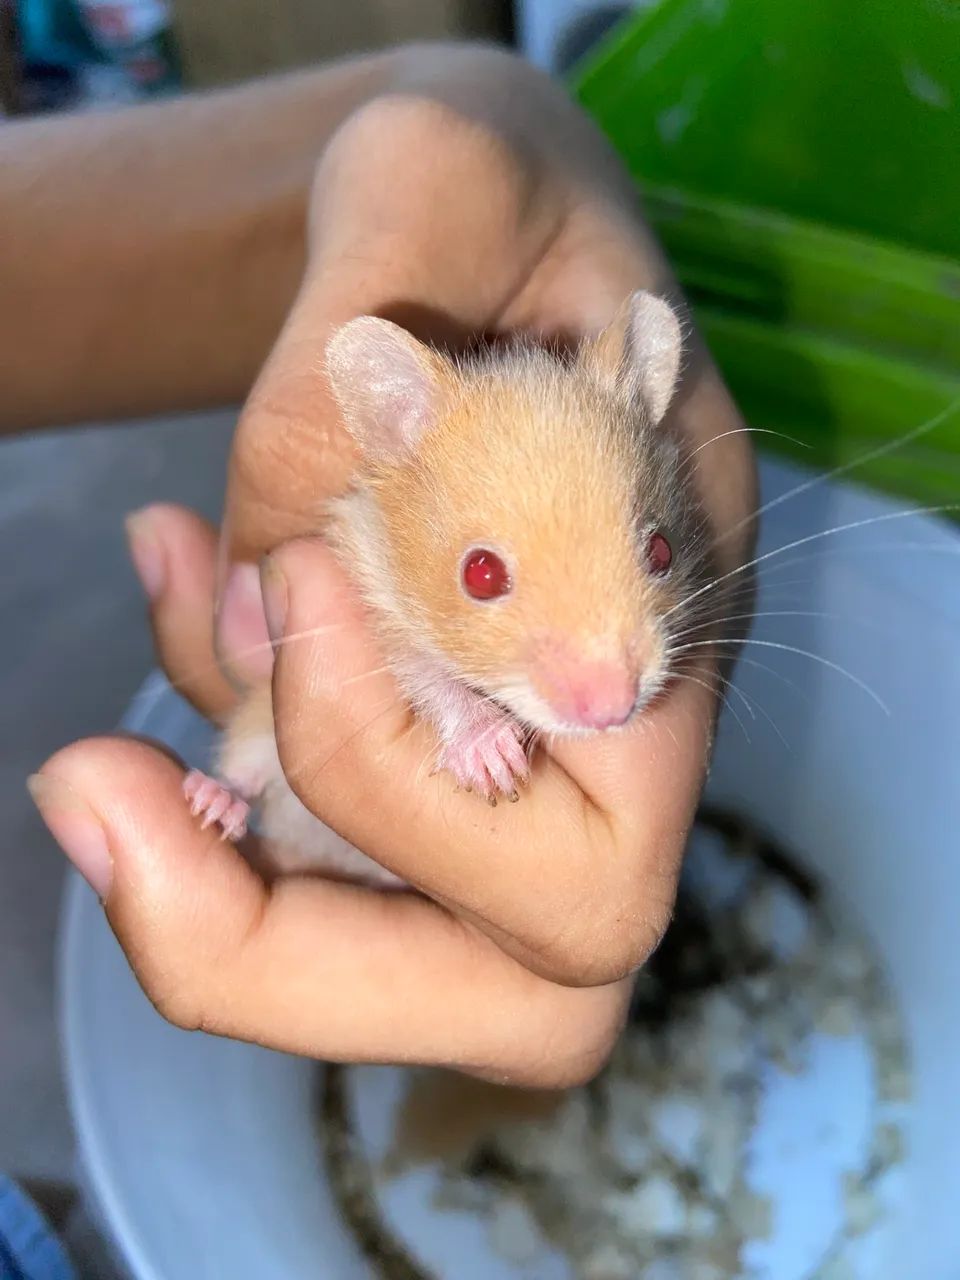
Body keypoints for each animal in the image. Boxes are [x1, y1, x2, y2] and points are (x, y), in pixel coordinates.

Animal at [182, 291, 714, 887]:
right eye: (480, 574)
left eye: (662, 552)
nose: (612, 712)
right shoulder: (379, 601)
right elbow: (429, 674)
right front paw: (496, 766)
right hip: (255, 730)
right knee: (244, 774)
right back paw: (208, 806)